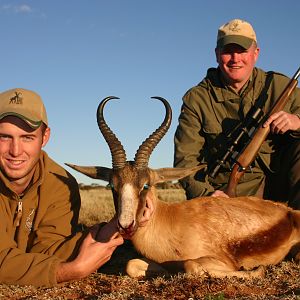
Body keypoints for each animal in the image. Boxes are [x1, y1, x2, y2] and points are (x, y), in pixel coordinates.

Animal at [67, 95, 300, 278]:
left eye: (145, 185)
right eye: (112, 185)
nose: (125, 226)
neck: (169, 220)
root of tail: (286, 210)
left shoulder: (219, 260)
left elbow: (191, 265)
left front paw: (256, 270)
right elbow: (131, 265)